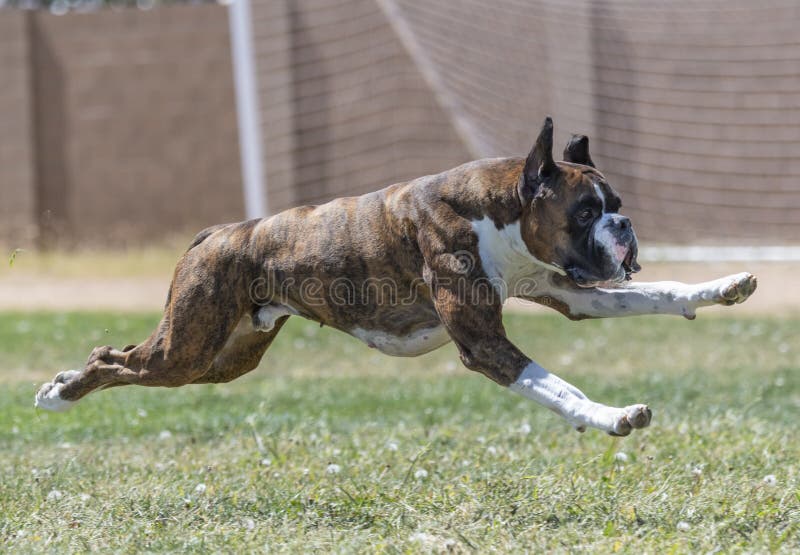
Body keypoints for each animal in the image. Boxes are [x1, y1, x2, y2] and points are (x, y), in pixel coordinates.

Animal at [32, 117, 756, 436]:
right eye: (586, 211)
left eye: (618, 203)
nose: (624, 225)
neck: (495, 211)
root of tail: (221, 233)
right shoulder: (484, 345)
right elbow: (559, 386)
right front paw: (611, 416)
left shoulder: (572, 293)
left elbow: (657, 294)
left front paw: (721, 287)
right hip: (187, 349)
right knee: (113, 358)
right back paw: (59, 392)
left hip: (220, 359)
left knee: (124, 357)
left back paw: (62, 382)